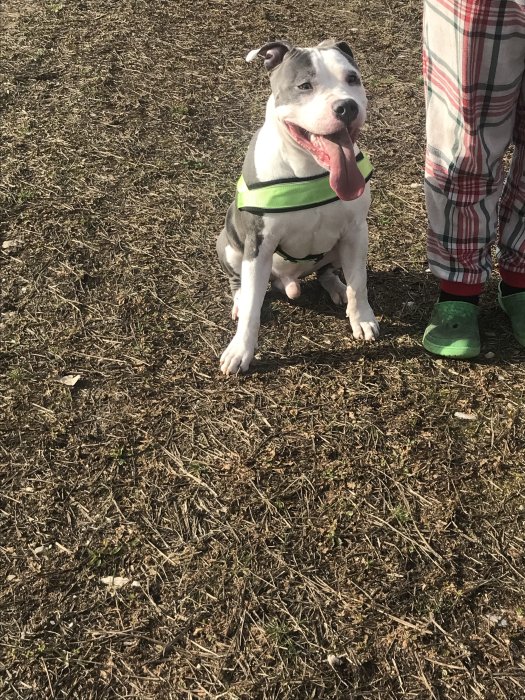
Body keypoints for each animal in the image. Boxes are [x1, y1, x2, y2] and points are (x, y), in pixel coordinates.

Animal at [216, 40, 379, 374]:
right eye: (304, 86)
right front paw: (240, 350)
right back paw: (238, 299)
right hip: (228, 245)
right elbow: (252, 308)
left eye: (352, 79)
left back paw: (337, 287)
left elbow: (359, 282)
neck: (311, 168)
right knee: (239, 283)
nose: (346, 107)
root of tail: (288, 282)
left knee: (328, 271)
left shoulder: (357, 232)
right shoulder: (258, 244)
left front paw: (362, 318)